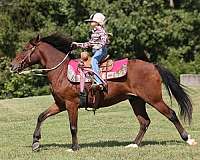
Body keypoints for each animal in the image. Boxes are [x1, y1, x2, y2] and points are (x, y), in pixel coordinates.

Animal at [10, 33, 196, 151]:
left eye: (25, 49)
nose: (12, 65)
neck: (61, 72)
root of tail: (153, 66)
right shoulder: (60, 104)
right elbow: (41, 116)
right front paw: (35, 142)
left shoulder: (71, 104)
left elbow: (73, 127)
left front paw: (74, 147)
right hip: (136, 100)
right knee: (144, 122)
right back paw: (134, 144)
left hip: (154, 99)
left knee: (171, 114)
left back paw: (188, 139)